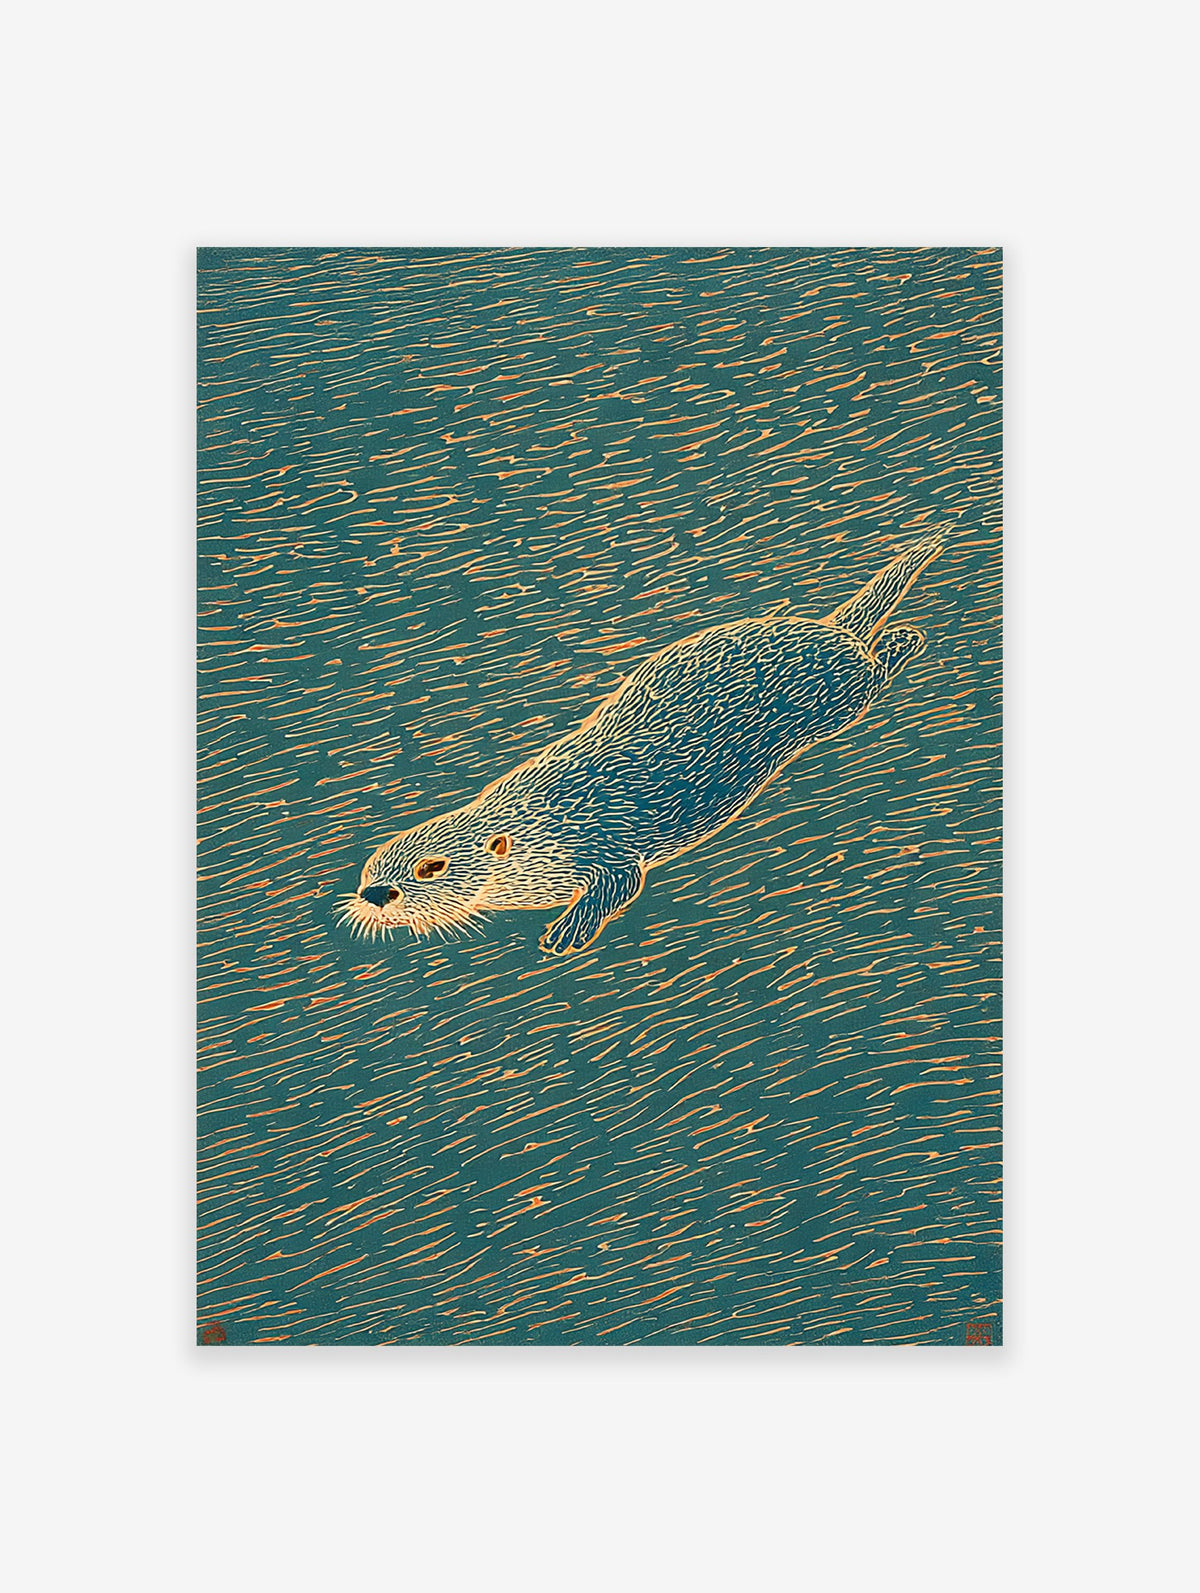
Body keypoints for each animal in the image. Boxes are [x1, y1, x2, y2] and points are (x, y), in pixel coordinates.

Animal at [340, 537, 941, 954]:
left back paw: (907, 639)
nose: (375, 896)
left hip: (840, 695)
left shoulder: (603, 845)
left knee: (875, 666)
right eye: (371, 870)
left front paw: (567, 931)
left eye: (430, 869)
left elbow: (621, 885)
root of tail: (828, 629)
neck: (540, 829)